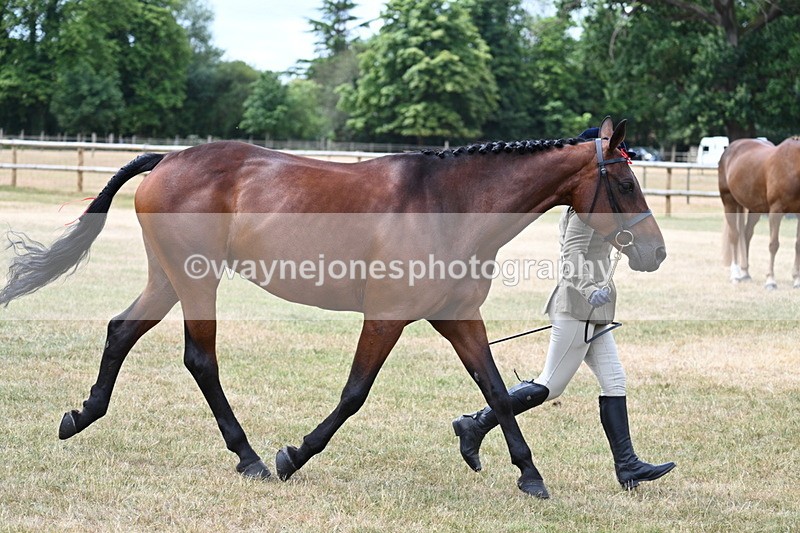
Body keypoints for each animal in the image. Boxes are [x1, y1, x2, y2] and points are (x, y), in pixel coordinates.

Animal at [0, 117, 665, 498]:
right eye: (625, 183)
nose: (655, 252)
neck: (447, 204)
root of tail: (167, 158)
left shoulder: (457, 318)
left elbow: (499, 392)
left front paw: (527, 474)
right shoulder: (387, 318)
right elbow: (354, 394)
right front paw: (293, 456)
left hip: (167, 279)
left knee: (121, 330)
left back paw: (80, 417)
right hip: (195, 281)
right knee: (200, 360)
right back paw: (249, 457)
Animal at [719, 137, 800, 289]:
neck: (792, 167)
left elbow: (798, 245)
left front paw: (797, 280)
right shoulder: (775, 211)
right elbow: (773, 244)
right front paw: (770, 281)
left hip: (755, 209)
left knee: (746, 234)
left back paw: (745, 273)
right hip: (729, 202)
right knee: (735, 235)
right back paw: (735, 275)